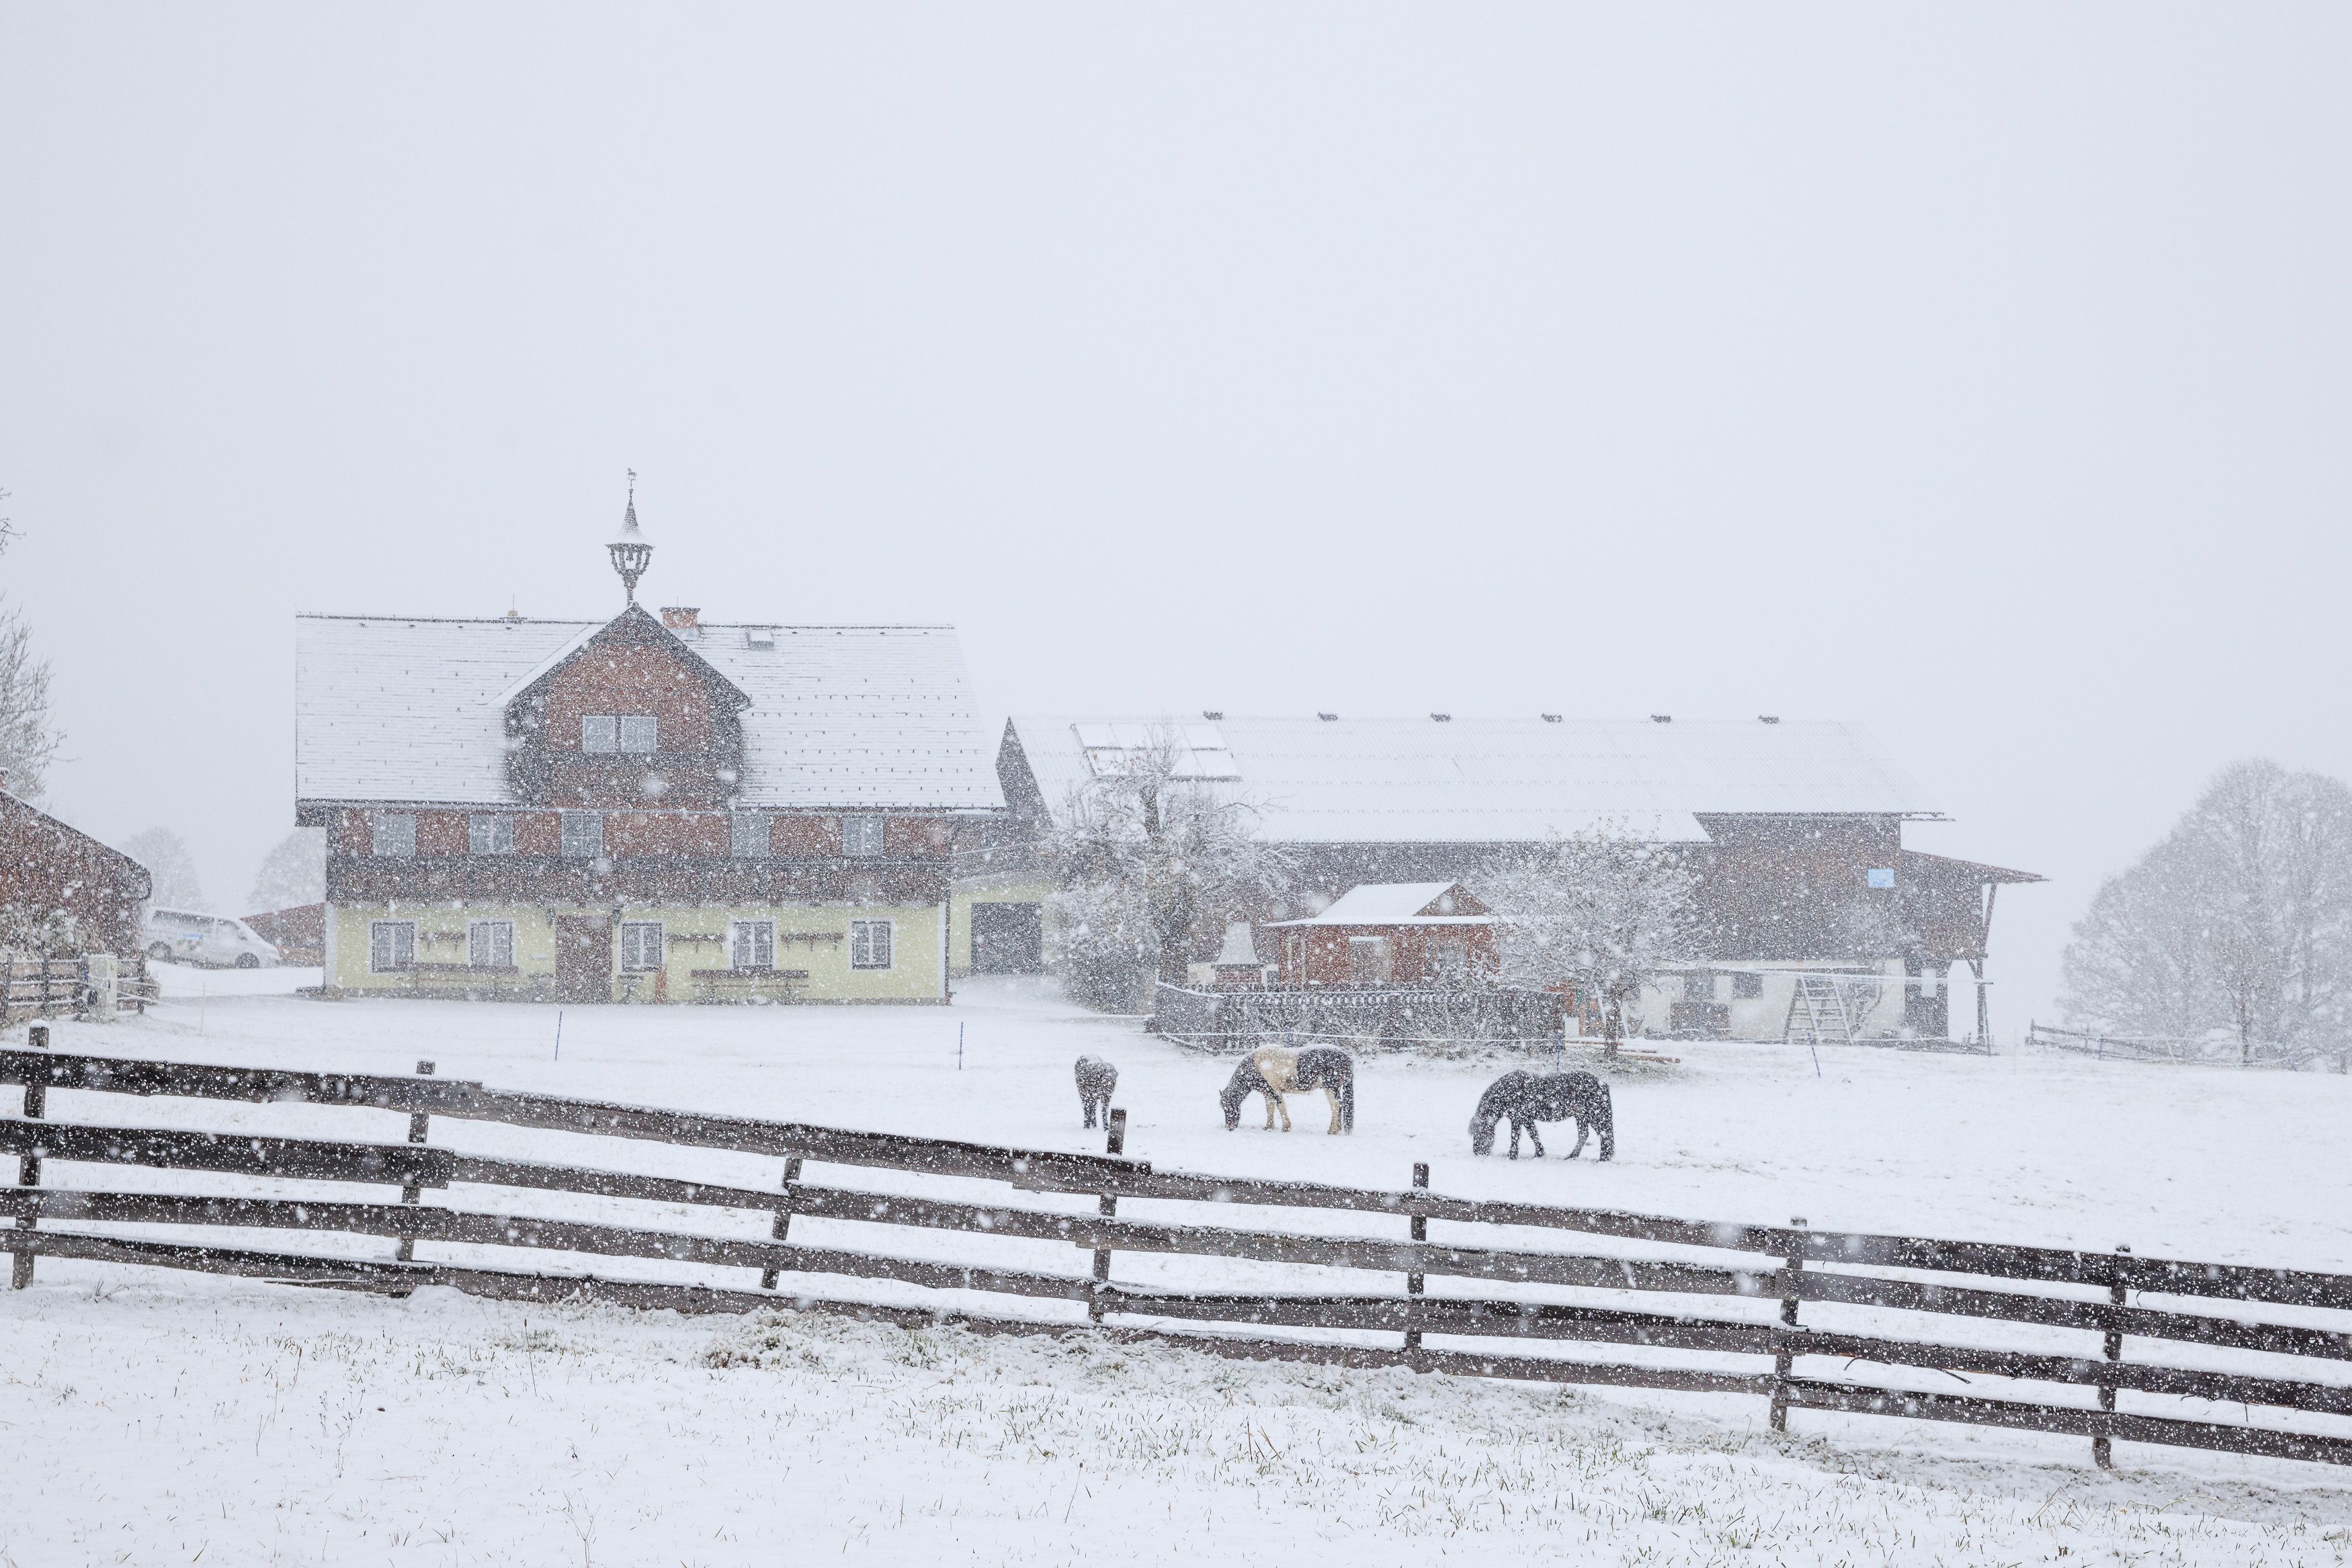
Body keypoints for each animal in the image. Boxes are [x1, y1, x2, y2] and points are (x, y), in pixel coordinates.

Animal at [1468, 1072, 1618, 1161]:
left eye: (1480, 1133)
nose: (1477, 1152)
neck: (1507, 1092)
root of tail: (1603, 1085)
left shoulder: (1517, 1118)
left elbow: (1515, 1136)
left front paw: (1512, 1155)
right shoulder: (1526, 1119)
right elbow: (1533, 1134)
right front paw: (1539, 1153)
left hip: (1595, 1117)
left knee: (1604, 1136)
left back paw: (1602, 1158)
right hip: (1582, 1117)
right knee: (1585, 1135)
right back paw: (1573, 1156)